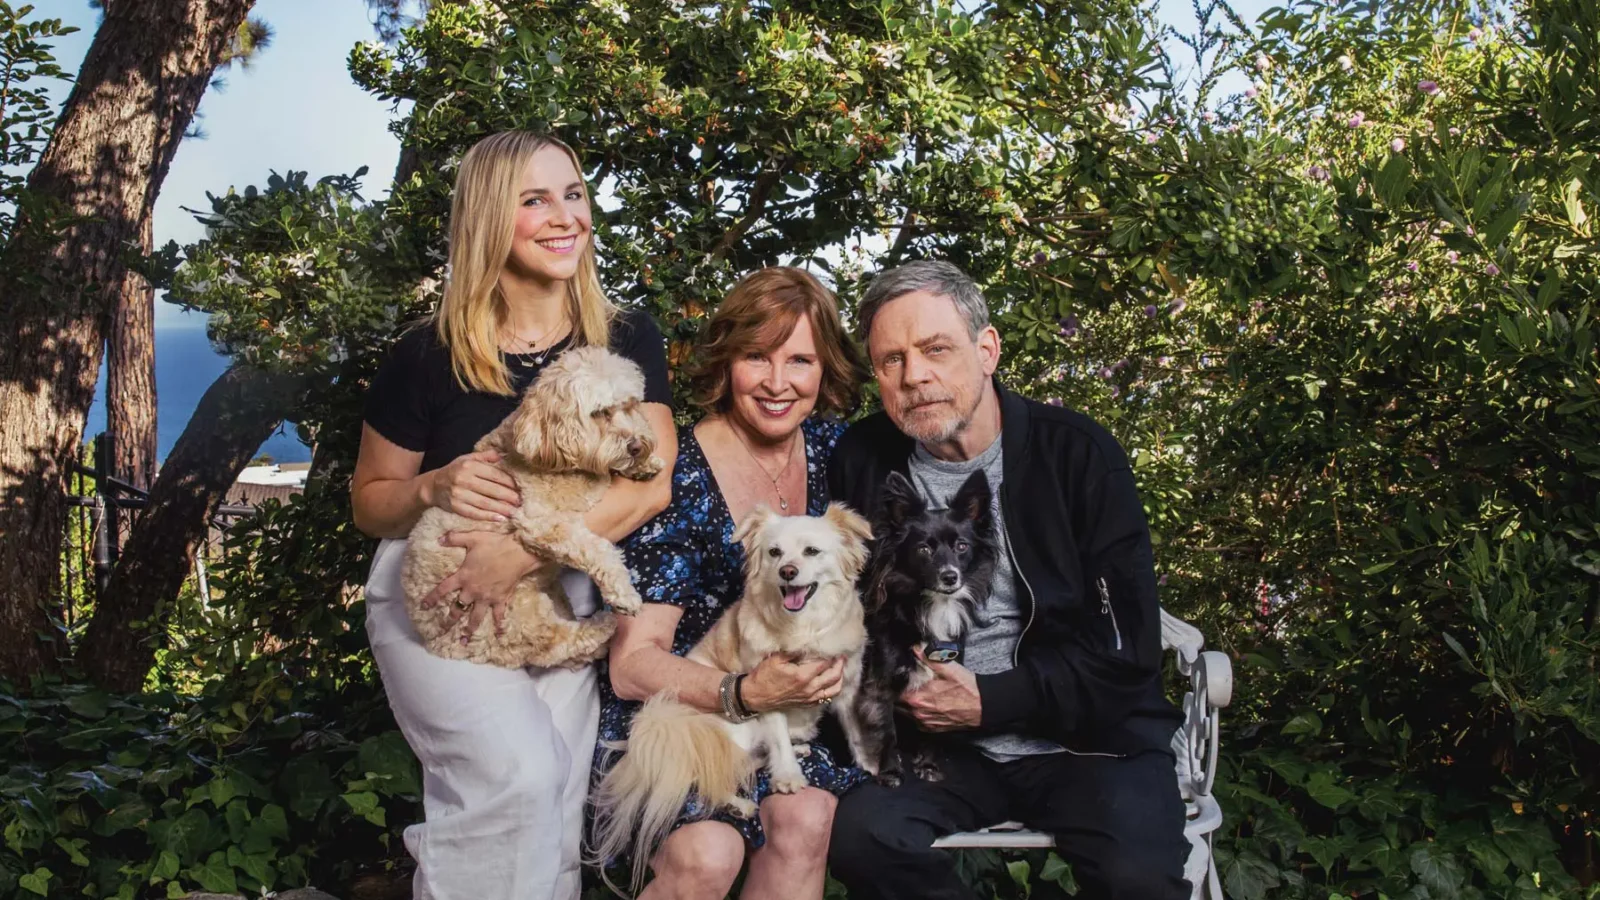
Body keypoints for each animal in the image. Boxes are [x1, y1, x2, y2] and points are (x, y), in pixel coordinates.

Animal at [406, 342, 668, 666]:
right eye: (599, 413)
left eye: (630, 406)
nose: (637, 446)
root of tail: (434, 642)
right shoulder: (542, 522)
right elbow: (598, 549)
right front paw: (623, 593)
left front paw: (645, 465)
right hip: (512, 613)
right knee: (554, 645)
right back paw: (603, 625)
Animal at [592, 499, 876, 890]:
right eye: (774, 553)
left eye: (811, 551)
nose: (787, 571)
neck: (802, 627)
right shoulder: (768, 690)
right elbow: (778, 737)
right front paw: (788, 776)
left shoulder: (847, 686)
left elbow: (856, 733)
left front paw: (871, 765)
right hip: (726, 734)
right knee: (706, 773)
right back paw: (736, 803)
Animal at [857, 464, 992, 781]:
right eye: (923, 550)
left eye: (962, 546)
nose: (950, 576)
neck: (934, 605)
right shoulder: (880, 685)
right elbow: (887, 731)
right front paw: (890, 771)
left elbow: (935, 731)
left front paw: (929, 765)